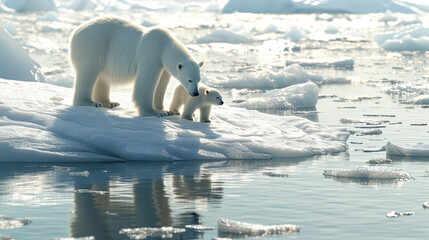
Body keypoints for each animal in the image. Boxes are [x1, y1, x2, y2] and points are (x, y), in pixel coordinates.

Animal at [69, 16, 203, 116]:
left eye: (198, 80)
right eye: (189, 80)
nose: (196, 93)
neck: (164, 45)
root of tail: (75, 32)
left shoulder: (163, 66)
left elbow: (162, 85)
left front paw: (165, 110)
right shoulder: (151, 54)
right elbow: (145, 82)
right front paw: (154, 112)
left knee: (102, 77)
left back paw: (109, 102)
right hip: (93, 45)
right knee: (89, 72)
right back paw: (89, 102)